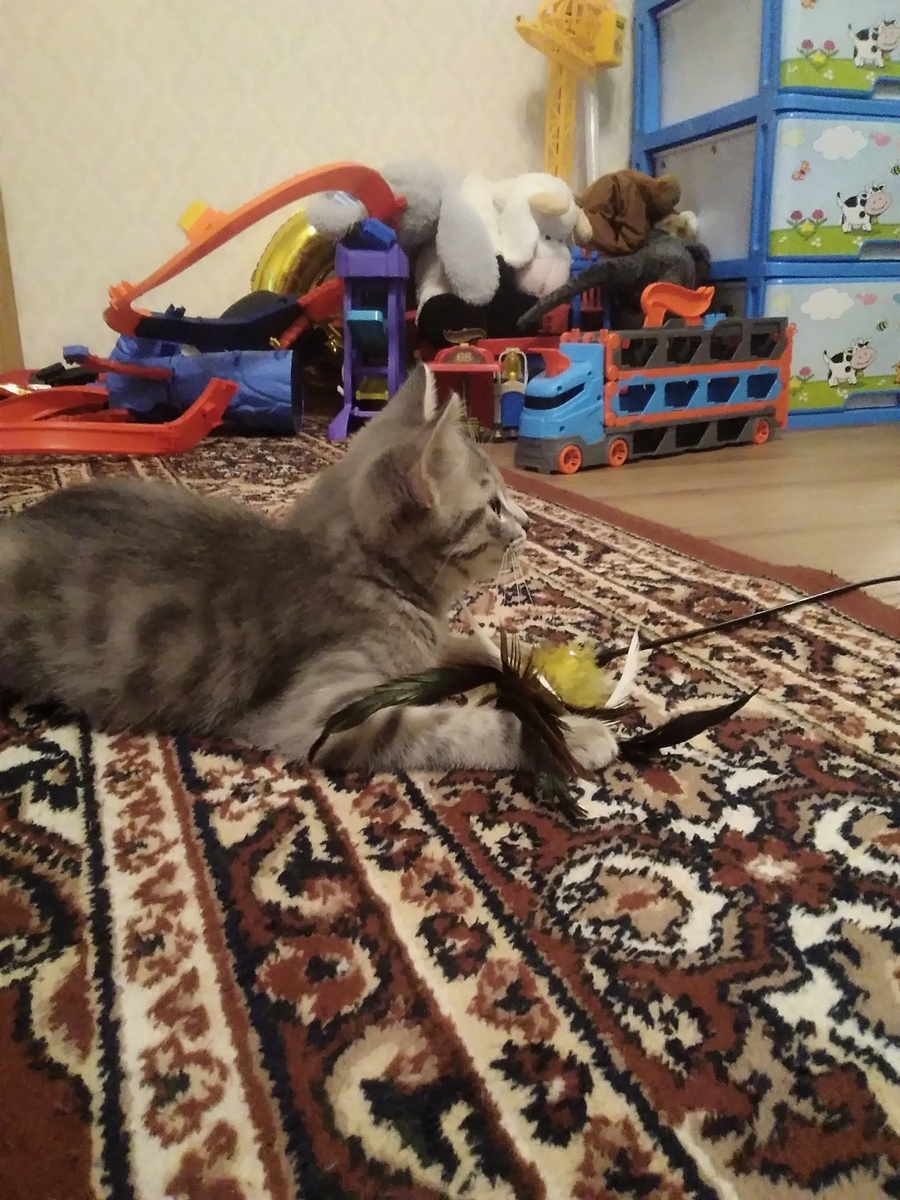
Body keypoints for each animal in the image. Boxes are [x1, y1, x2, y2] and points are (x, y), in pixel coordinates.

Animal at [0, 365, 618, 775]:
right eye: (493, 506)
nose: (530, 524)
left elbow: (476, 647)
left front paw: (557, 675)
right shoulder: (318, 714)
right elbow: (462, 724)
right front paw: (571, 736)